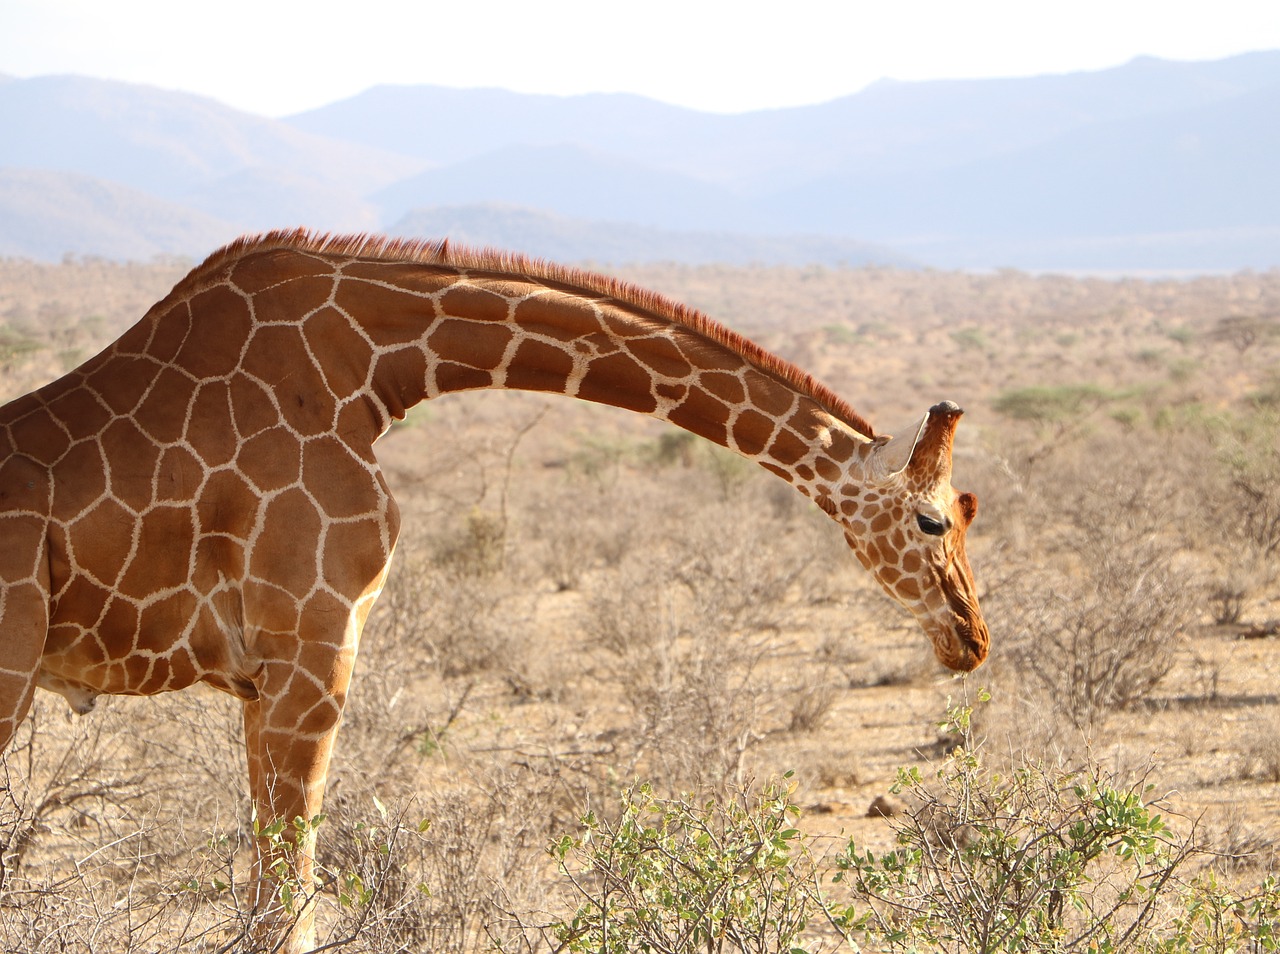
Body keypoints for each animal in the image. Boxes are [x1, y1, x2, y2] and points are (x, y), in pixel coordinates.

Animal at [0, 229, 988, 947]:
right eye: (934, 521)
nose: (971, 637)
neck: (371, 369)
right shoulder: (314, 651)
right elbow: (290, 893)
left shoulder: (263, 674)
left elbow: (274, 886)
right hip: (11, 674)